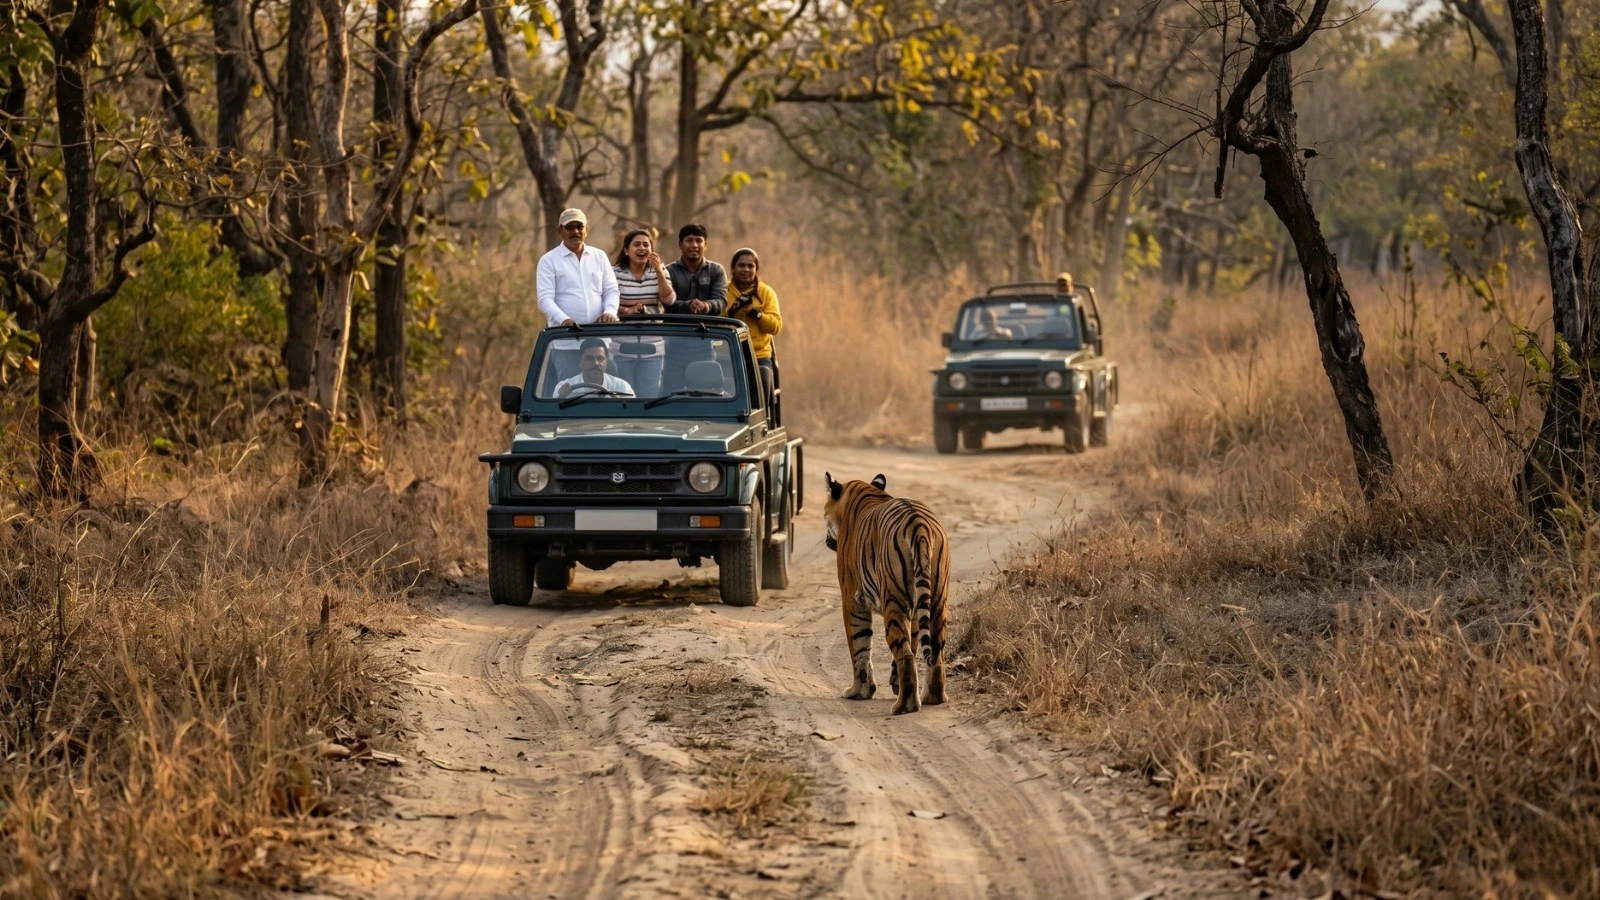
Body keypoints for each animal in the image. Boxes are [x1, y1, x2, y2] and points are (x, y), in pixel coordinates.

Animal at [822, 472, 951, 715]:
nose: (827, 540)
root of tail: (919, 526)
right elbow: (912, 639)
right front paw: (893, 683)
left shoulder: (851, 598)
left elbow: (859, 645)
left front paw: (859, 691)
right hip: (937, 600)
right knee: (935, 651)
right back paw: (932, 697)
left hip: (893, 598)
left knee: (905, 655)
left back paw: (904, 705)